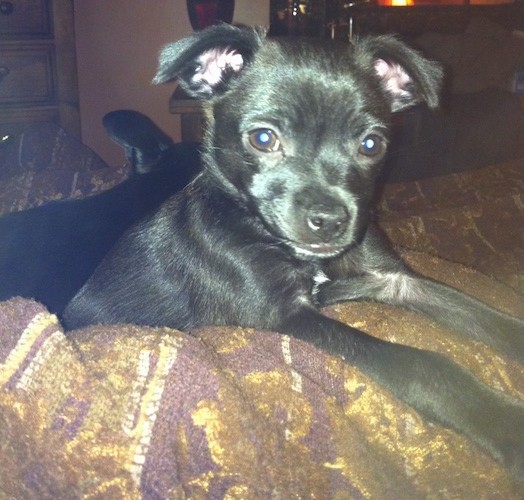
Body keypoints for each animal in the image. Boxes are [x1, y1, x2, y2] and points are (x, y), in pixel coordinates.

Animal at [62, 24, 524, 480]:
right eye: (263, 138)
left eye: (371, 144)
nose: (330, 220)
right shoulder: (285, 316)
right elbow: (421, 364)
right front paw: (506, 426)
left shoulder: (396, 280)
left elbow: (482, 314)